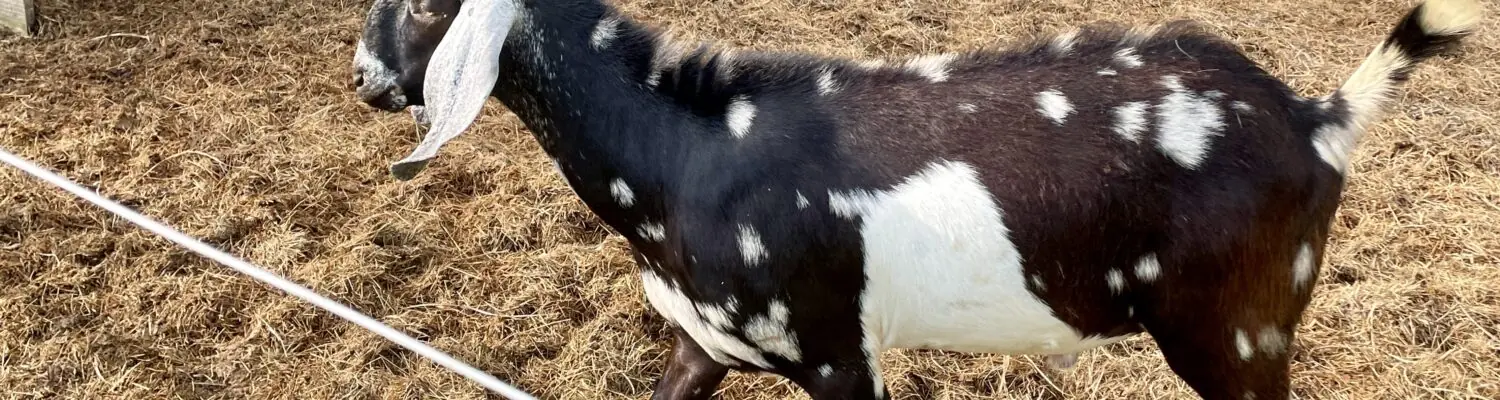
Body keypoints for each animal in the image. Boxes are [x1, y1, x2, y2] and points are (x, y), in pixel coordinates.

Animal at [350, 0, 1483, 398]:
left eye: (425, 6)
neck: (688, 154)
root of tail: (1317, 117)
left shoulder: (835, 353)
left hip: (1239, 331)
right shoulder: (703, 344)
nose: (361, 80)